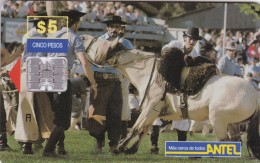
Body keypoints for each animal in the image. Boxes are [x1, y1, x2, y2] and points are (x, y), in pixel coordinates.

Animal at [82, 35, 260, 159]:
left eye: (101, 43)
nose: (83, 37)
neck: (151, 74)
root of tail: (254, 94)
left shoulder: (151, 107)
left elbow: (136, 128)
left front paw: (119, 148)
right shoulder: (154, 111)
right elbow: (144, 129)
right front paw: (131, 149)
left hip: (218, 119)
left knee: (225, 141)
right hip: (232, 123)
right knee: (235, 141)